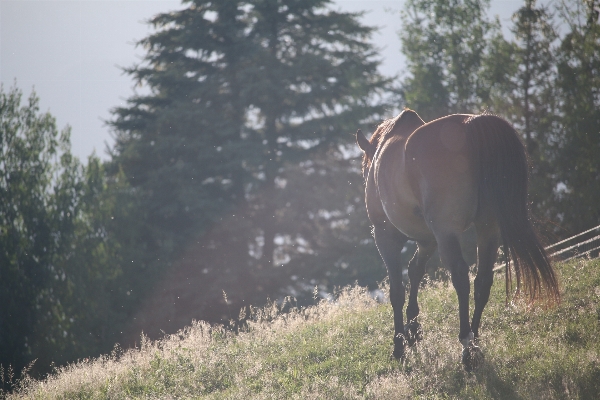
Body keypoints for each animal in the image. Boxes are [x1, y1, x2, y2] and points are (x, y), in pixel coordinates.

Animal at [356, 108, 556, 370]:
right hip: (488, 228)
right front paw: (414, 330)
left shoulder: (386, 236)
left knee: (461, 276)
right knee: (483, 280)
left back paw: (466, 347)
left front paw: (400, 344)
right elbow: (415, 270)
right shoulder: (428, 240)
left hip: (446, 231)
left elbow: (397, 290)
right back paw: (475, 340)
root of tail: (473, 124)